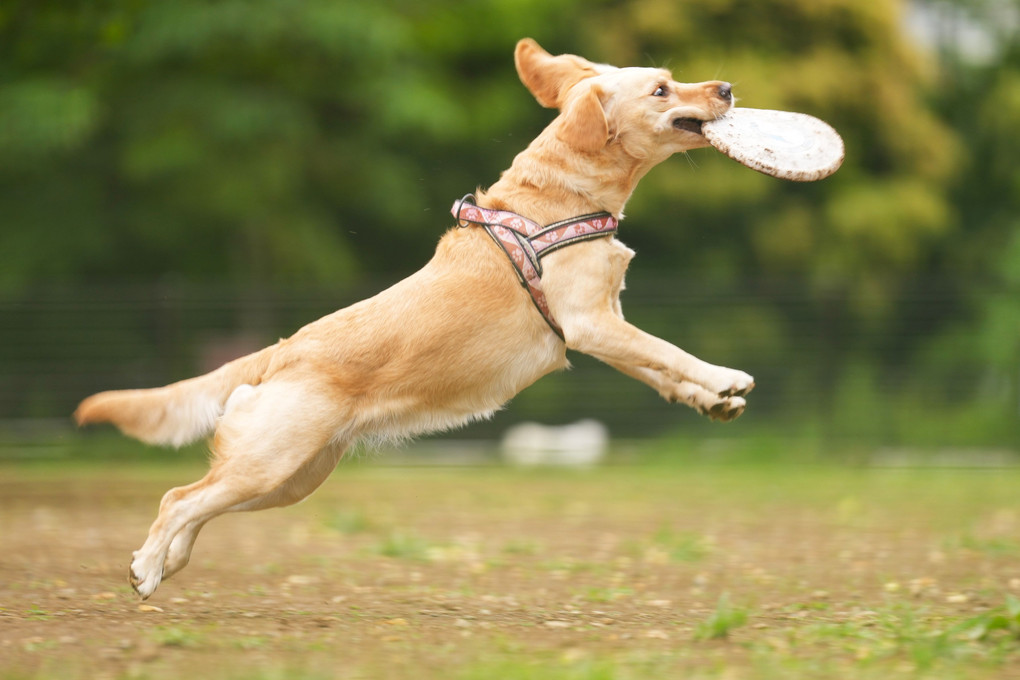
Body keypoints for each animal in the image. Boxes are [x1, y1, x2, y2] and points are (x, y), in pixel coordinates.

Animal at [75, 38, 754, 599]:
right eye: (661, 89)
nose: (726, 87)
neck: (561, 199)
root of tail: (282, 348)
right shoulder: (591, 325)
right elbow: (668, 351)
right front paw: (726, 378)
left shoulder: (605, 325)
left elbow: (659, 370)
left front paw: (709, 400)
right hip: (270, 462)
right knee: (178, 497)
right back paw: (146, 567)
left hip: (291, 478)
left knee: (199, 502)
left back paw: (168, 561)